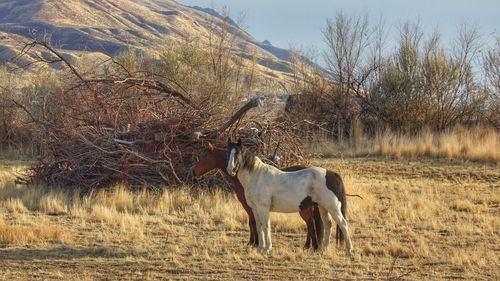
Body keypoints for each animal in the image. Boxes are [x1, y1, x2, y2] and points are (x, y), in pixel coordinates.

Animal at [191, 142, 324, 249]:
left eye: (205, 156)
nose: (194, 172)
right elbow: (253, 223)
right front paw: (254, 242)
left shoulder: (249, 206)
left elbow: (252, 223)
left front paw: (253, 243)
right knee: (309, 224)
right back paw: (307, 245)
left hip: (304, 209)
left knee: (310, 224)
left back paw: (310, 246)